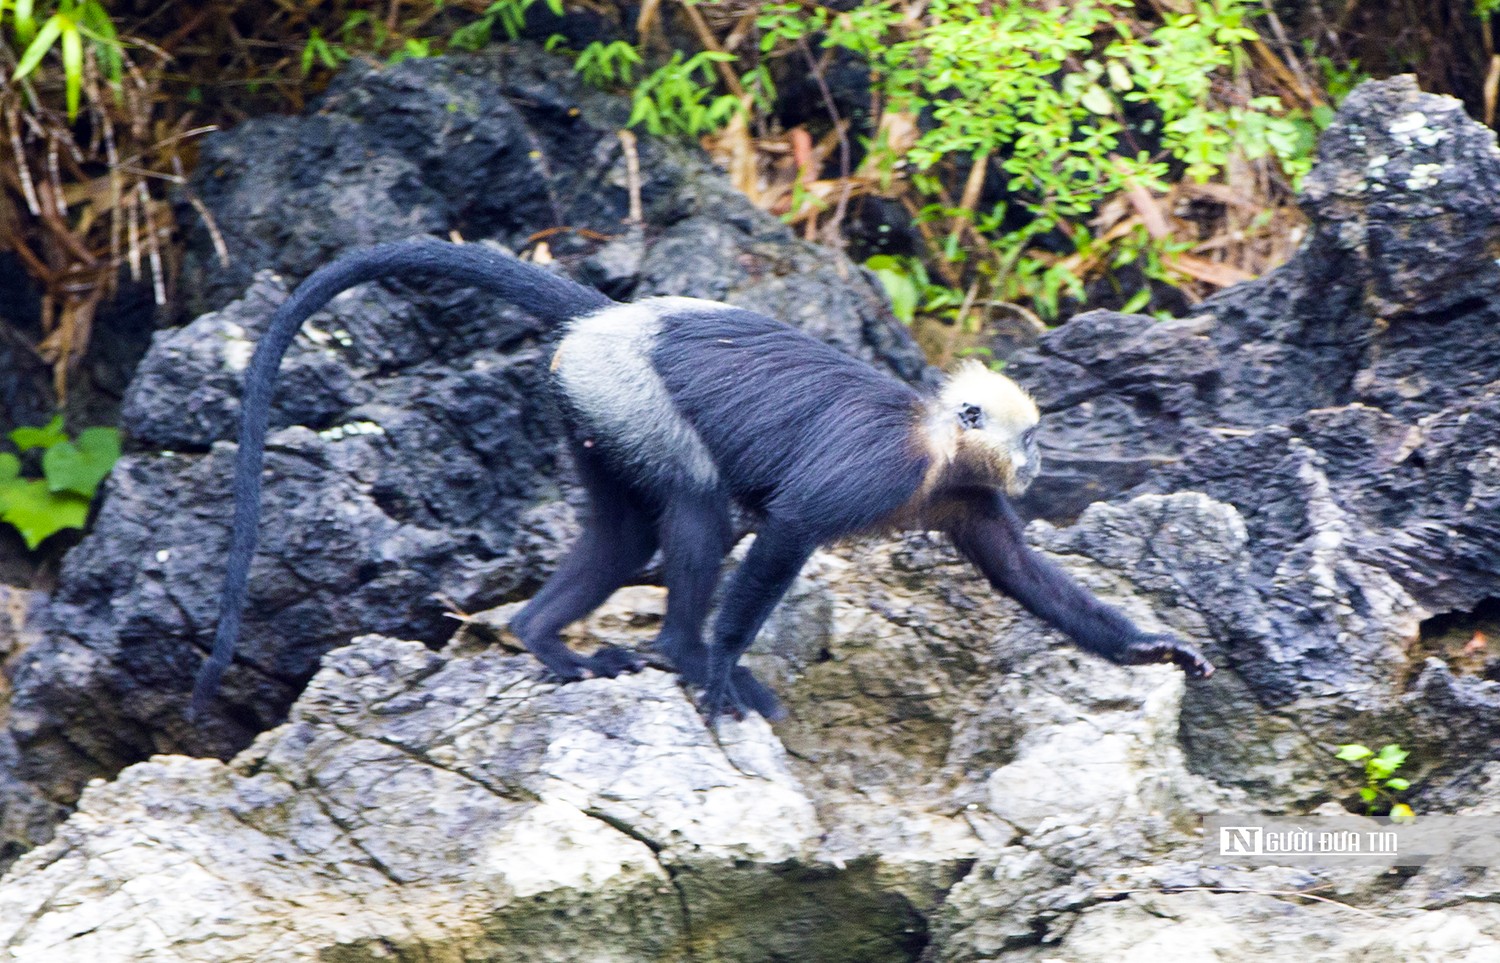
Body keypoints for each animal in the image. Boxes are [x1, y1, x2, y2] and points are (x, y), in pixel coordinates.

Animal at [193, 238, 1212, 720]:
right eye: (1029, 437)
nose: (1037, 460)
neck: (937, 444)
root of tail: (607, 319)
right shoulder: (884, 467)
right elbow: (790, 526)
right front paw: (721, 659)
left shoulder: (964, 491)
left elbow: (1023, 574)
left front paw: (1150, 648)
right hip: (624, 389)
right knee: (694, 513)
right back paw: (685, 651)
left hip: (586, 404)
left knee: (625, 533)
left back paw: (541, 635)